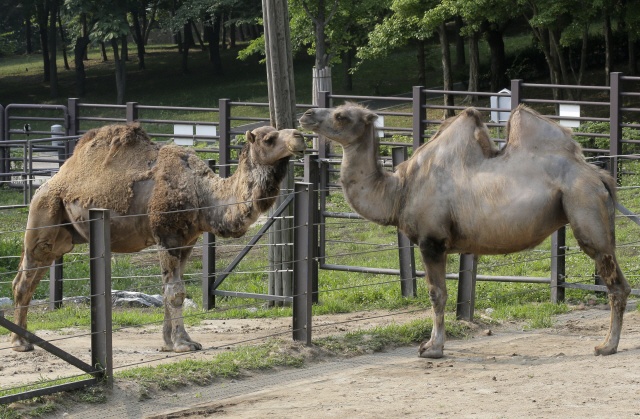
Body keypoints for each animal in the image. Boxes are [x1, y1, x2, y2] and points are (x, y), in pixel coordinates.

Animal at [11, 123, 308, 352]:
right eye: (269, 138)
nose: (300, 136)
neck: (203, 193)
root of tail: (45, 184)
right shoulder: (168, 235)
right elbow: (175, 292)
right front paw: (182, 345)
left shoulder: (188, 240)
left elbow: (171, 290)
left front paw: (172, 341)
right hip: (44, 216)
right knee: (24, 281)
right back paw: (19, 343)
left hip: (63, 237)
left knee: (31, 277)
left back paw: (25, 338)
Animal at [300, 103, 632, 360]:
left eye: (342, 115)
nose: (307, 114)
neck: (399, 191)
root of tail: (600, 176)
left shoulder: (431, 241)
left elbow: (437, 294)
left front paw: (432, 348)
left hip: (584, 206)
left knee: (614, 283)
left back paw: (606, 346)